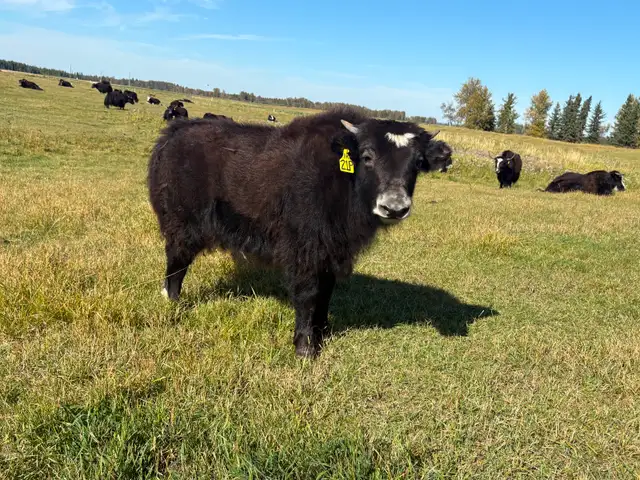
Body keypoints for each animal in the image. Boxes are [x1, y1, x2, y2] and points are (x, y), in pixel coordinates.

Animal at [147, 107, 441, 358]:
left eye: (417, 163)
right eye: (368, 156)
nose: (395, 207)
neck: (340, 179)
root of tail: (172, 134)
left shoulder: (332, 251)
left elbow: (326, 292)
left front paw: (322, 332)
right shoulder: (304, 250)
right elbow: (308, 294)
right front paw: (305, 347)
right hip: (181, 223)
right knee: (177, 262)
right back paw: (172, 300)